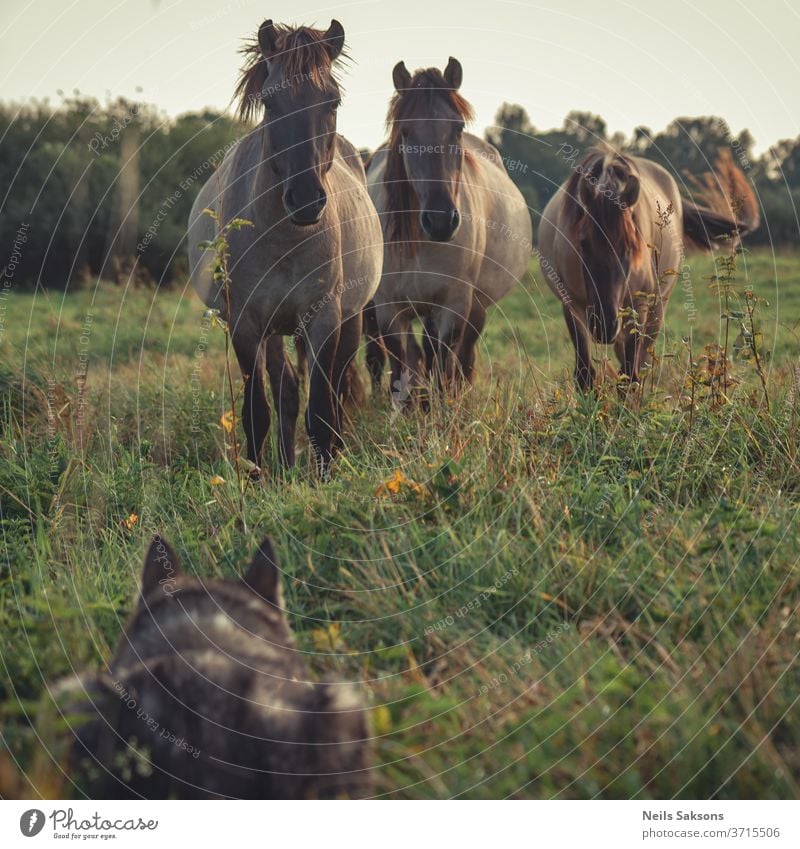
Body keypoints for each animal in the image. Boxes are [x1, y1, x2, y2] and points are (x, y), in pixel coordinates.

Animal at [191, 19, 384, 474]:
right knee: (287, 391)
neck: (285, 238)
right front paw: (259, 478)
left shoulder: (324, 318)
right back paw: (285, 464)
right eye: (271, 103)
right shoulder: (245, 324)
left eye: (332, 101)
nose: (307, 199)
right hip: (275, 331)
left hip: (347, 320)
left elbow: (322, 410)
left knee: (333, 391)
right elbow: (257, 411)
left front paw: (326, 475)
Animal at [364, 59, 528, 398]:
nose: (440, 220)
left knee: (461, 358)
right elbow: (402, 364)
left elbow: (442, 364)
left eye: (458, 128)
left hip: (475, 307)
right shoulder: (389, 308)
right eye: (406, 131)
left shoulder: (453, 305)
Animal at [536, 145, 756, 388]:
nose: (605, 325)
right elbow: (585, 374)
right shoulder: (572, 305)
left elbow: (630, 374)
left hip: (655, 309)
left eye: (631, 247)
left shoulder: (638, 308)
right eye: (583, 243)